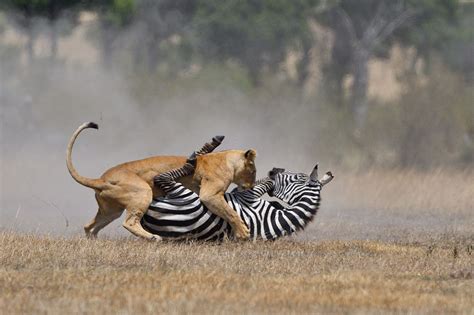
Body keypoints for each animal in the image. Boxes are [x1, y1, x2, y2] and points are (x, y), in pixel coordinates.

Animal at [141, 151, 334, 242]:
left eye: (299, 177)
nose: (273, 170)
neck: (276, 218)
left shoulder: (248, 197)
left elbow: (263, 185)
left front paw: (271, 179)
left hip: (186, 196)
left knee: (163, 178)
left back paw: (193, 160)